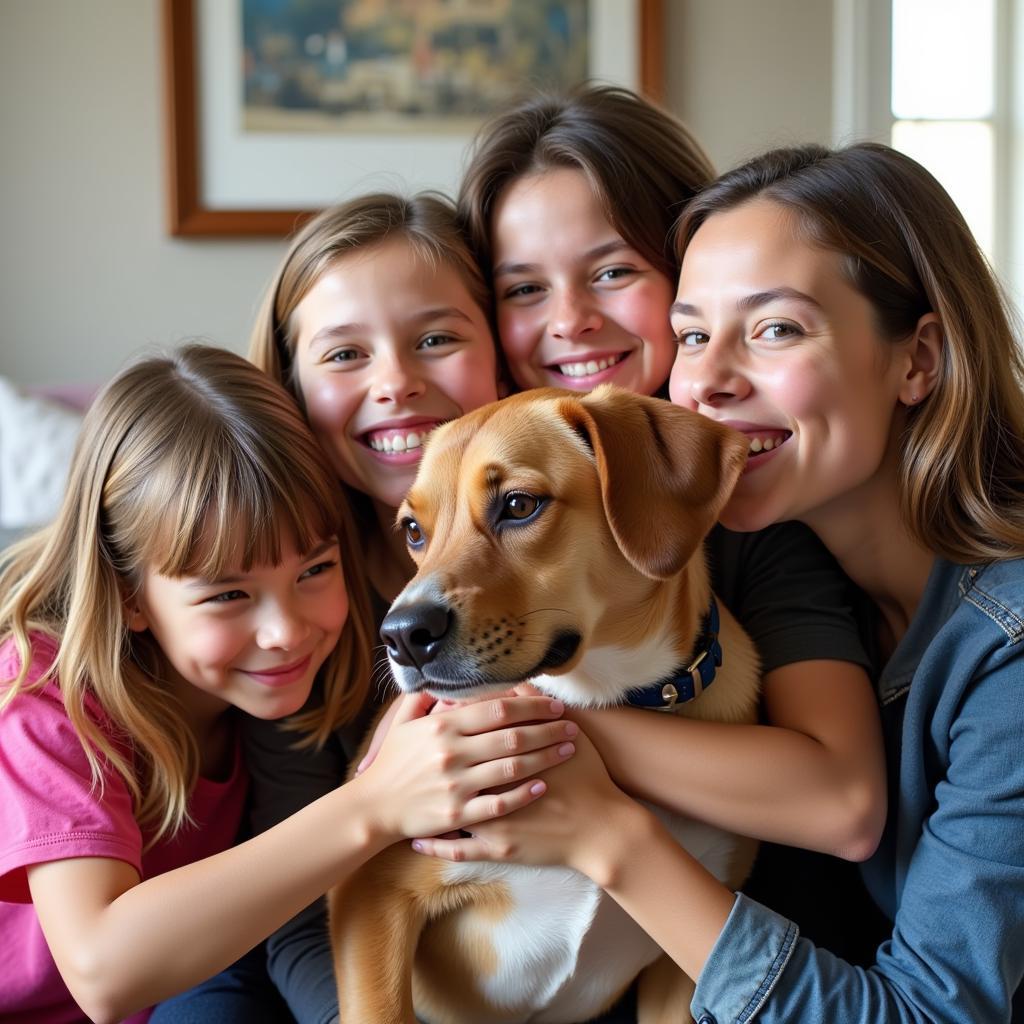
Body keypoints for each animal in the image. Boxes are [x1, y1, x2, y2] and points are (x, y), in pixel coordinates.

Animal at [327, 385, 761, 1024]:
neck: (609, 697)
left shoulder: (682, 967)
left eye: (519, 504)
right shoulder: (368, 895)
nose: (401, 635)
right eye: (412, 530)